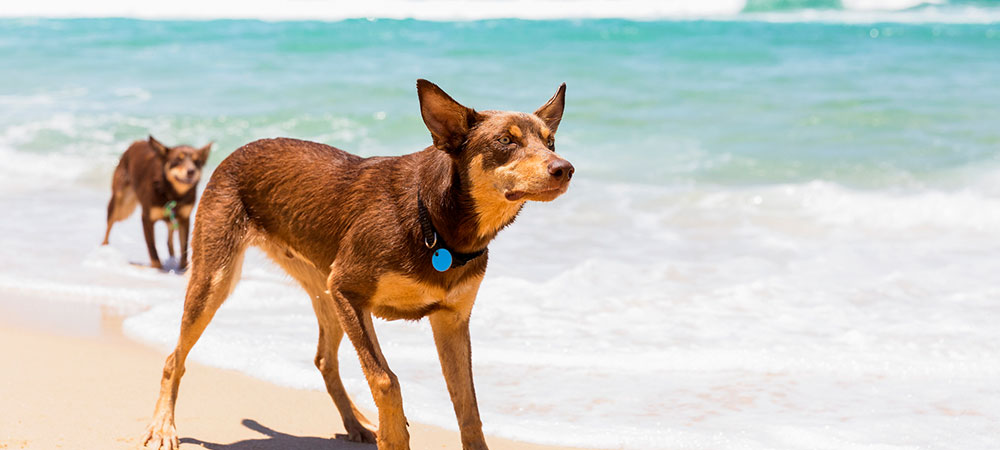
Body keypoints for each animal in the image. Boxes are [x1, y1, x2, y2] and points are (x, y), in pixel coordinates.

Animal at [102, 135, 211, 270]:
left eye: (197, 162)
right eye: (177, 160)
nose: (191, 171)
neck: (172, 193)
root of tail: (137, 142)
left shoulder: (184, 220)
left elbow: (183, 247)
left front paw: (182, 267)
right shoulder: (147, 219)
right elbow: (152, 248)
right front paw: (158, 268)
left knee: (169, 239)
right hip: (120, 204)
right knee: (109, 226)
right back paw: (103, 249)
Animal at [144, 81, 576, 450]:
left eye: (550, 141)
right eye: (505, 141)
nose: (564, 168)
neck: (438, 224)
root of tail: (235, 152)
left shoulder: (451, 321)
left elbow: (467, 405)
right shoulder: (350, 292)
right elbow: (385, 379)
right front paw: (394, 434)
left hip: (325, 290)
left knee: (324, 360)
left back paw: (356, 422)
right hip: (217, 280)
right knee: (173, 358)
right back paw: (163, 426)